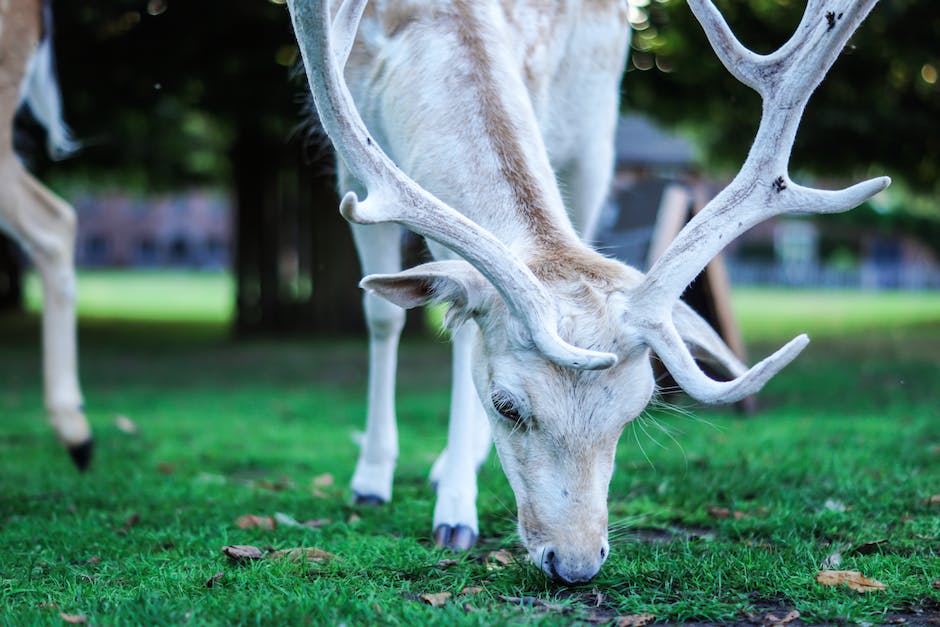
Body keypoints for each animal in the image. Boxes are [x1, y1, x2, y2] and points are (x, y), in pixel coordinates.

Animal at [286, 0, 888, 584]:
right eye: (506, 406)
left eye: (635, 409)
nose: (575, 564)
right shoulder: (350, 168)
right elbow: (384, 316)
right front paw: (376, 482)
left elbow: (460, 333)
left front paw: (455, 507)